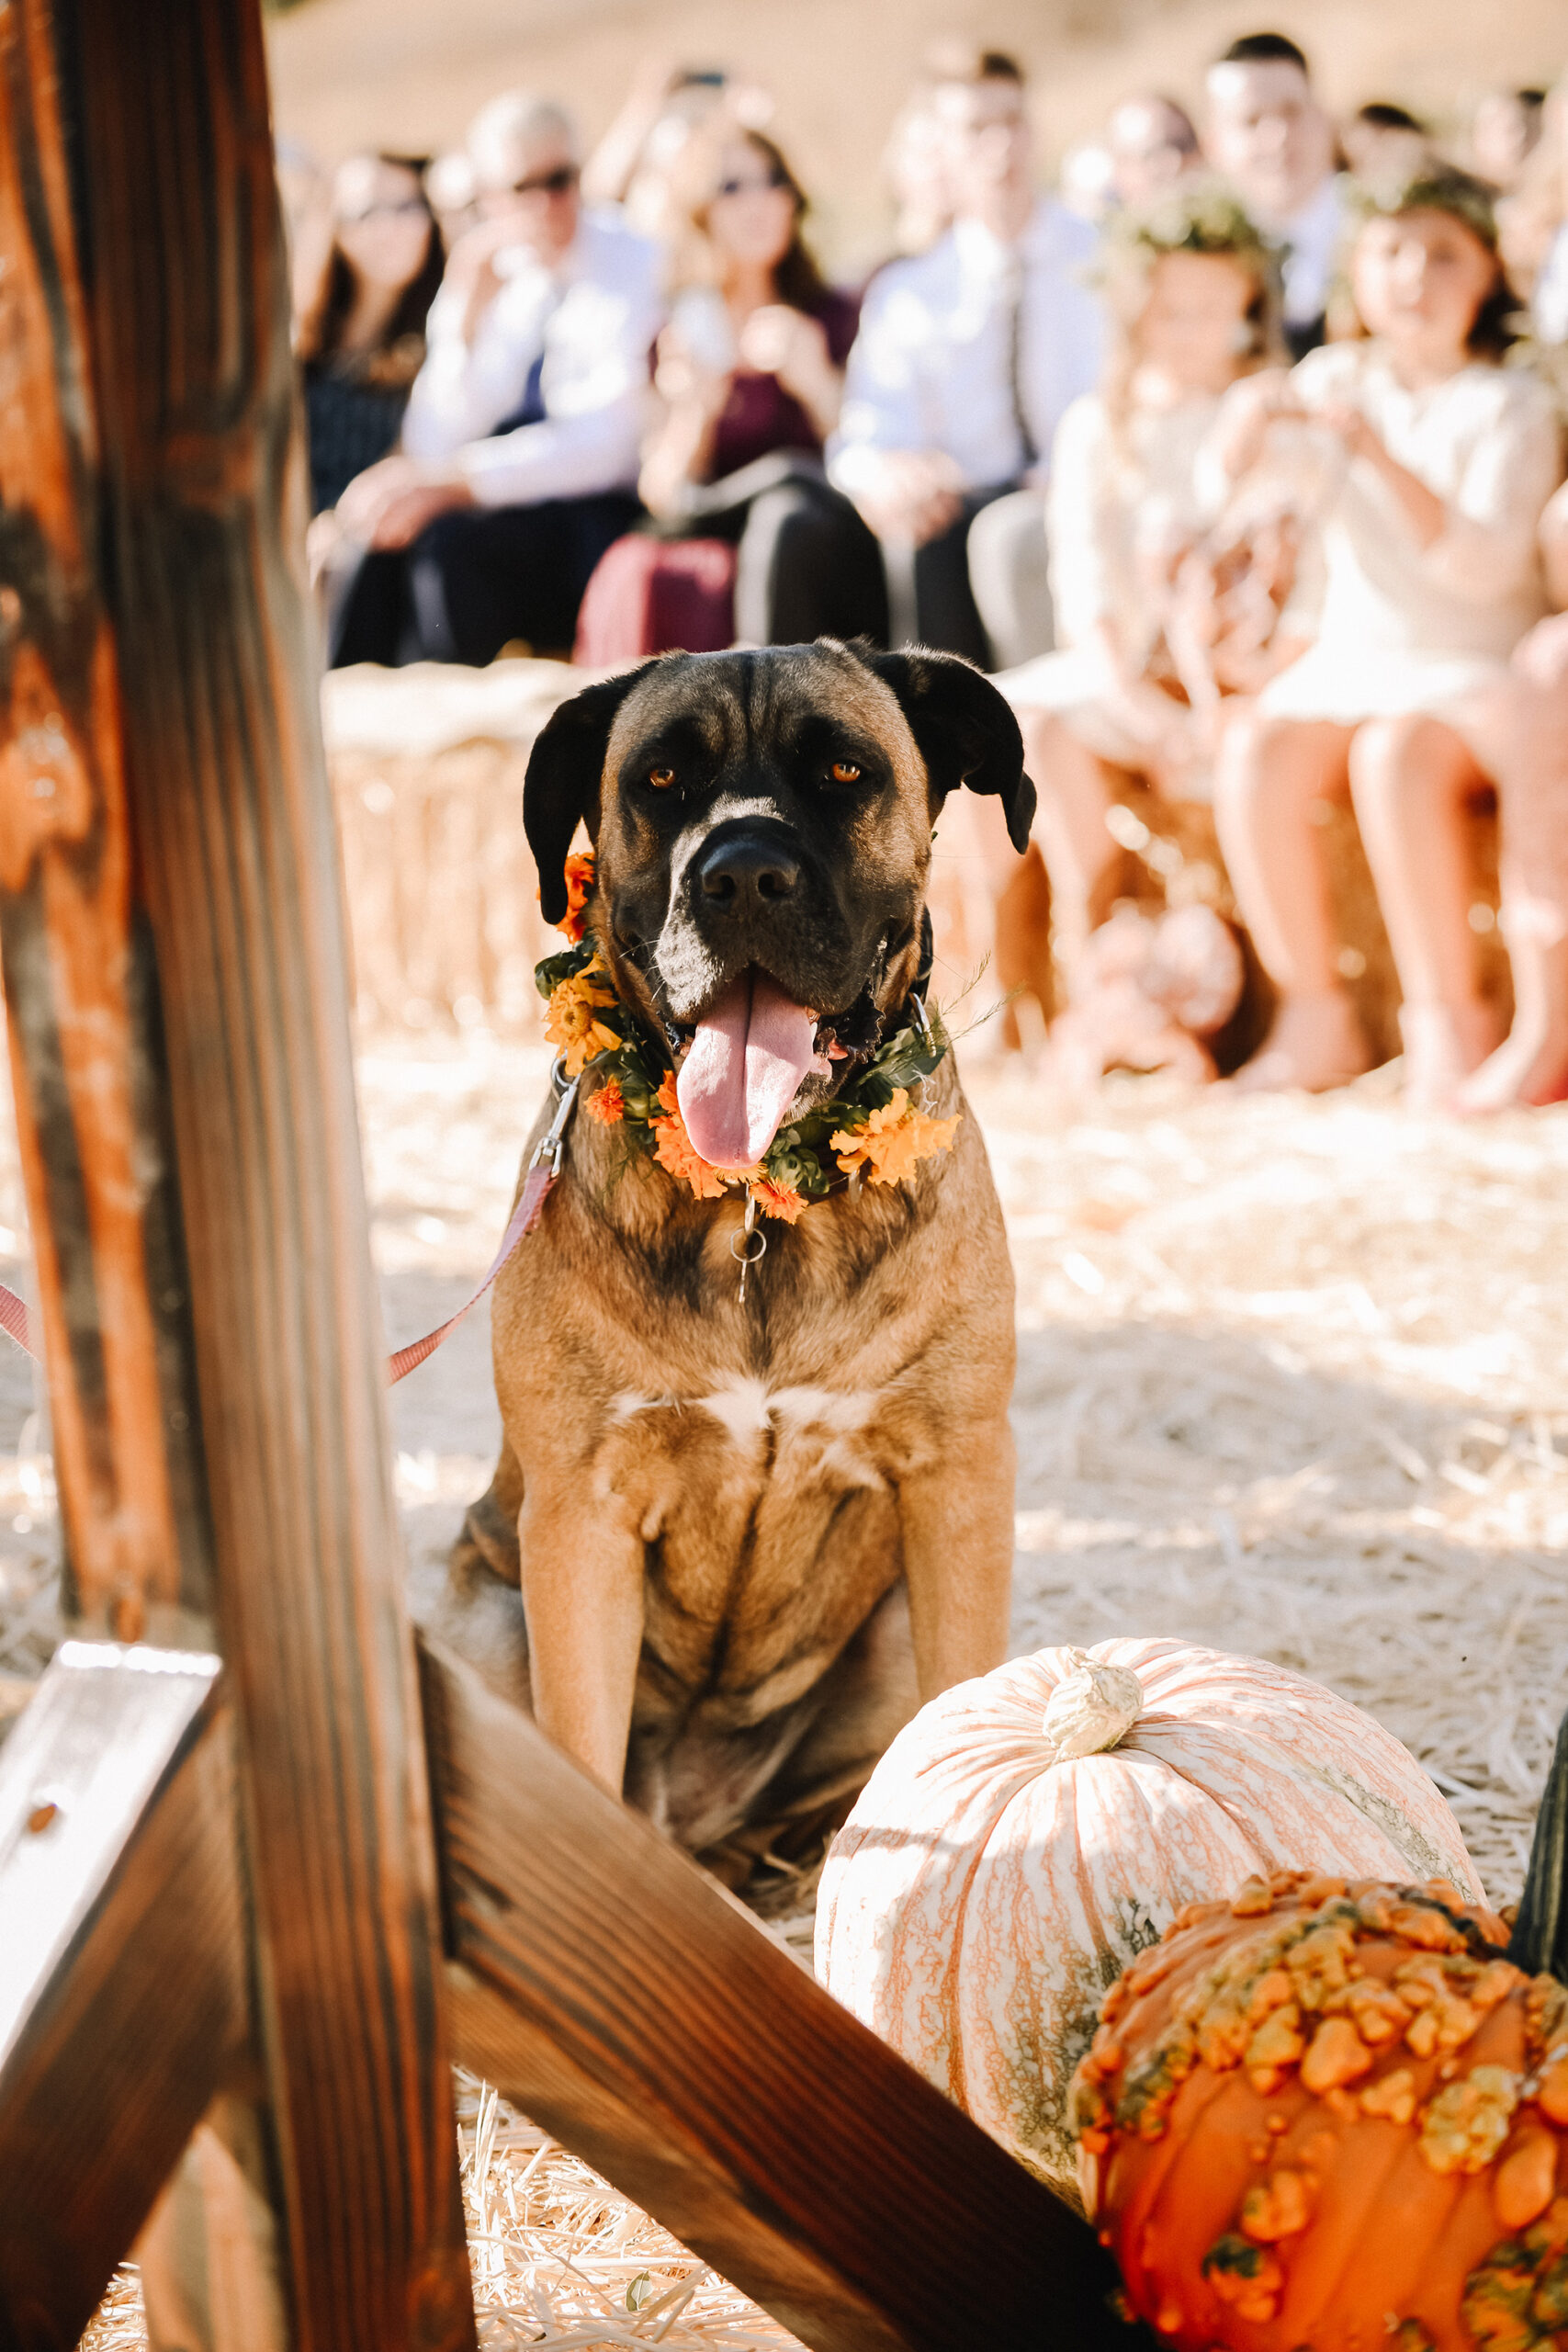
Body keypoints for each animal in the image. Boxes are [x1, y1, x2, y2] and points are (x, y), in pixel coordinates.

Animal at [430, 639, 1034, 1871]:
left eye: (845, 770)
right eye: (660, 781)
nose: (743, 873)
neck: (756, 1204)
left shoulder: (959, 1482)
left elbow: (965, 1690)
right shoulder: (581, 1519)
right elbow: (580, 1746)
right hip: (474, 1611)